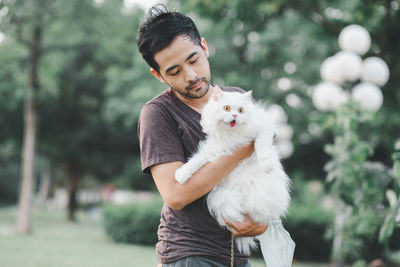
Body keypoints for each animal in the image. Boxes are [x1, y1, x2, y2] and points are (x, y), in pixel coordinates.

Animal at [174, 90, 294, 267]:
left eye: (241, 110)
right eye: (227, 108)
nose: (235, 115)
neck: (233, 135)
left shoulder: (263, 129)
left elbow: (261, 145)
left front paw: (266, 164)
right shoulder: (216, 149)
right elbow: (196, 161)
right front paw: (181, 175)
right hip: (223, 196)